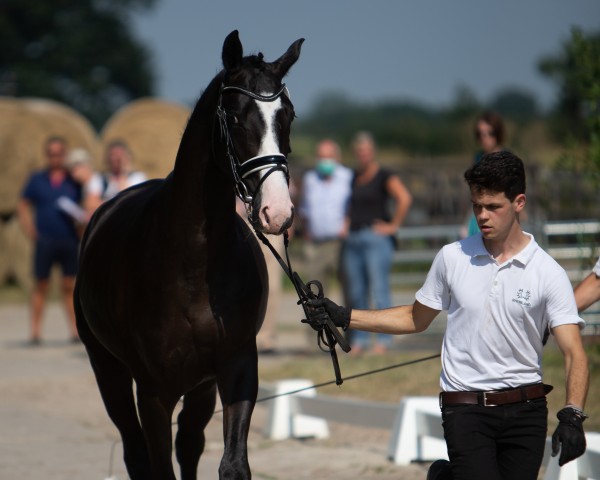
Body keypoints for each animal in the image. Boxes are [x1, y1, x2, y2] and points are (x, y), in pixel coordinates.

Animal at [75, 31, 304, 478]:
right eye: (234, 117)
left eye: (288, 116)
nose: (277, 211)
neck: (193, 261)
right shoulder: (153, 392)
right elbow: (158, 463)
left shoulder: (235, 370)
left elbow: (232, 464)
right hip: (108, 371)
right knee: (136, 452)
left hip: (200, 388)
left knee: (190, 444)